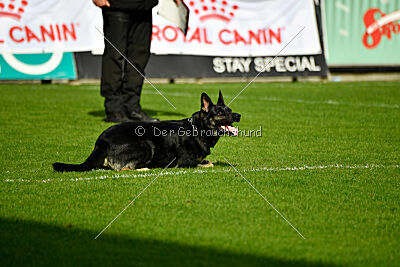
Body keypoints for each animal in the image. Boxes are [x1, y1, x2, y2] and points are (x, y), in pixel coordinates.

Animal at [53, 91, 241, 173]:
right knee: (124, 169)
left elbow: (209, 160)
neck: (198, 129)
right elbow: (208, 163)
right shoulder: (184, 163)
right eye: (220, 112)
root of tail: (100, 142)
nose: (238, 115)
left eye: (230, 110)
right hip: (146, 145)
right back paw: (144, 169)